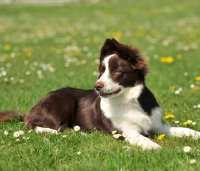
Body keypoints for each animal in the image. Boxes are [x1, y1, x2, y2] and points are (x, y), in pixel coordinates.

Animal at [0, 37, 200, 150]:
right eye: (102, 71)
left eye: (117, 71)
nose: (97, 86)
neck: (128, 100)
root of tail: (33, 108)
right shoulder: (124, 131)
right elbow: (141, 138)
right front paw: (155, 147)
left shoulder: (157, 125)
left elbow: (183, 130)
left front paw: (196, 134)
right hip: (63, 101)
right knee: (38, 126)